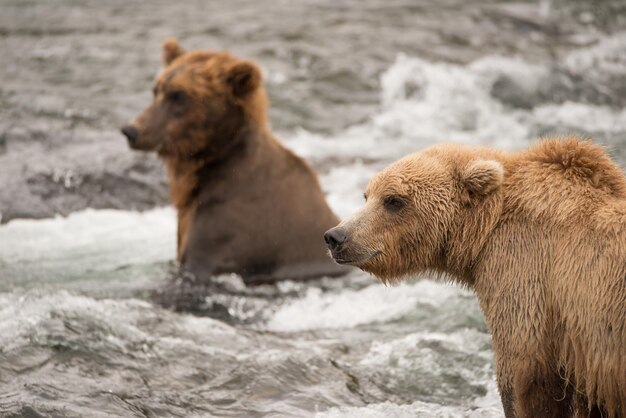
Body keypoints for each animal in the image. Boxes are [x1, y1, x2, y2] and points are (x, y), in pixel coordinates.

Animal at [324, 138, 620, 418]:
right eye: (367, 196)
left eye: (394, 200)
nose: (336, 236)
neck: (484, 230)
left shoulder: (527, 275)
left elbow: (525, 374)